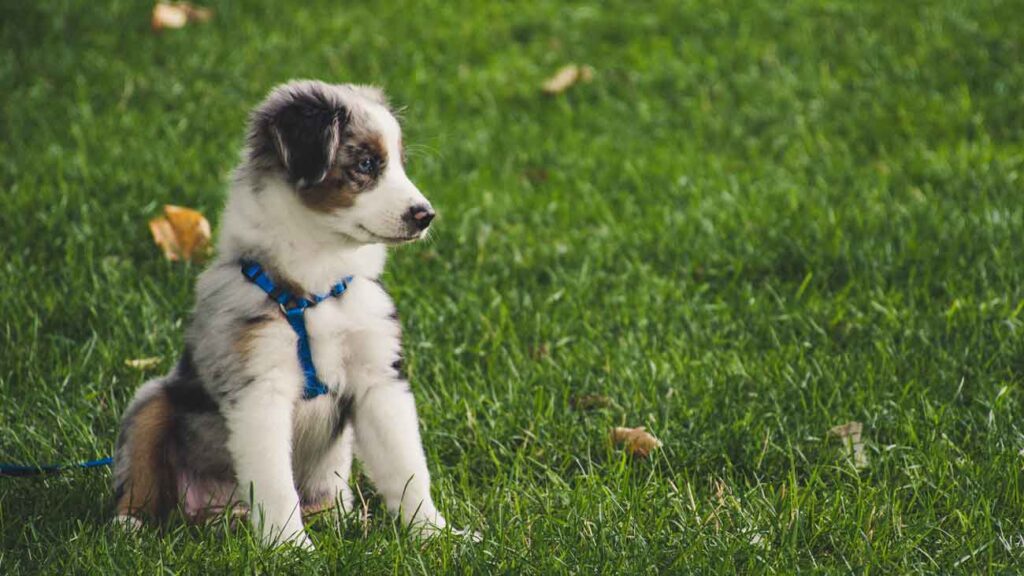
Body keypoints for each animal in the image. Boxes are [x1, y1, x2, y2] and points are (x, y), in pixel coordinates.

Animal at [109, 79, 456, 545]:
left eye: (400, 164)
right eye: (366, 164)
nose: (426, 216)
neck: (317, 284)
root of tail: (217, 511)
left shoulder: (379, 379)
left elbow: (407, 467)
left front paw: (438, 536)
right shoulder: (259, 387)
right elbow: (274, 482)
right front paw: (290, 547)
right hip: (152, 401)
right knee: (140, 474)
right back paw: (130, 524)